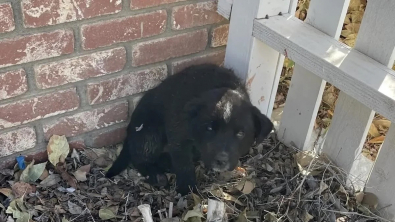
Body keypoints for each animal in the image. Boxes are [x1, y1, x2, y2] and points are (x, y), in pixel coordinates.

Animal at [105, 63, 274, 194]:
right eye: (209, 128)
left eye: (240, 133)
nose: (221, 161)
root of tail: (129, 132)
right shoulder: (178, 138)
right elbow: (183, 164)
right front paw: (187, 190)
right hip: (149, 132)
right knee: (140, 158)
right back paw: (157, 175)